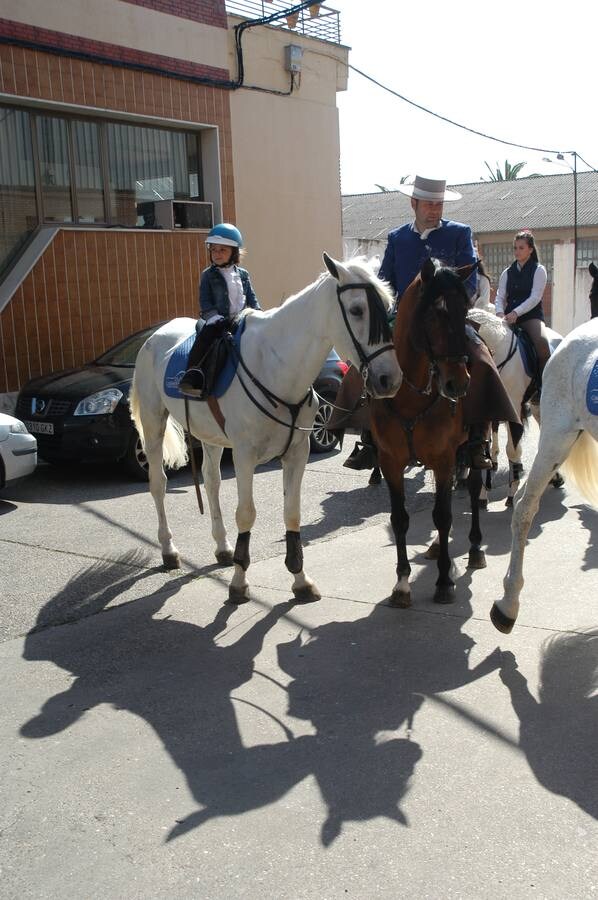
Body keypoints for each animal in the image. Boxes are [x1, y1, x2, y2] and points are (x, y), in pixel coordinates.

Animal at [130, 255, 404, 604]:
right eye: (357, 310)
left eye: (387, 306)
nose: (390, 379)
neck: (275, 367)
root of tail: (154, 336)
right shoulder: (245, 456)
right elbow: (246, 513)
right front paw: (238, 583)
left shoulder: (297, 453)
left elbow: (292, 513)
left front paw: (300, 580)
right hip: (154, 423)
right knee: (159, 484)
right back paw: (168, 550)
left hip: (210, 436)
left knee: (211, 482)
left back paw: (222, 547)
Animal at [372, 258, 490, 604]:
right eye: (434, 314)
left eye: (464, 310)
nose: (458, 383)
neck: (410, 396)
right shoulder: (390, 462)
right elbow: (400, 519)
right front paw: (401, 583)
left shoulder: (443, 458)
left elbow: (443, 515)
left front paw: (443, 582)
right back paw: (438, 547)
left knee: (474, 489)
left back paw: (474, 549)